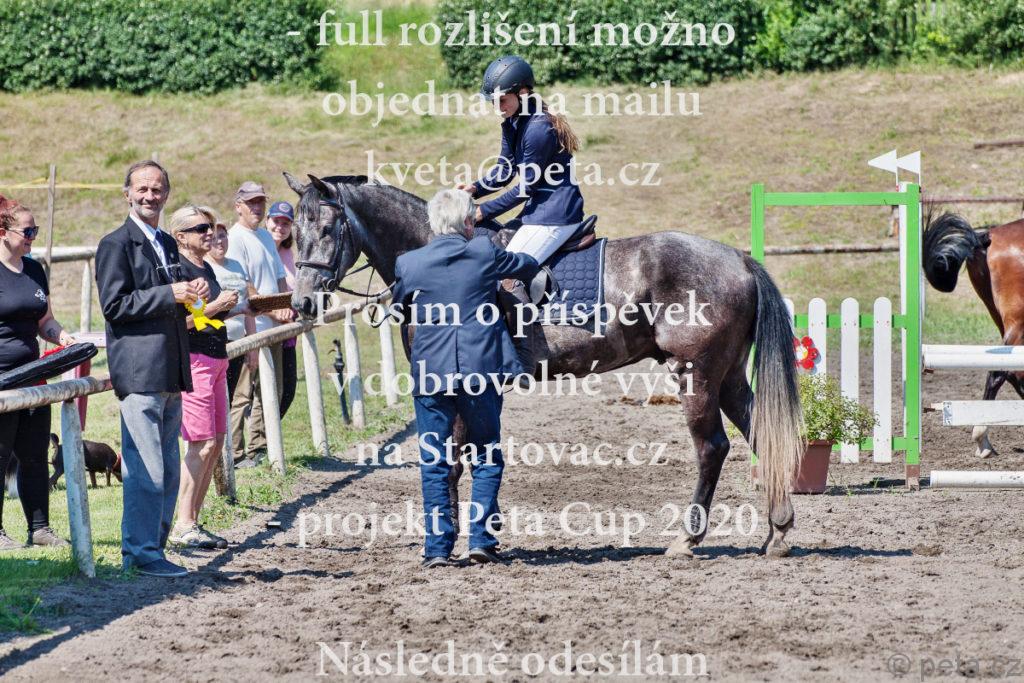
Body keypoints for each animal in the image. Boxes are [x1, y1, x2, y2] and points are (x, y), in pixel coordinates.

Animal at [284, 172, 804, 558]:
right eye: (295, 234)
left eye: (327, 230)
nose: (303, 303)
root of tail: (738, 259)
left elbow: (454, 463)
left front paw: (456, 543)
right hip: (728, 376)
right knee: (761, 432)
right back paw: (777, 532)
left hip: (696, 374)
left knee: (712, 448)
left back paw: (687, 538)